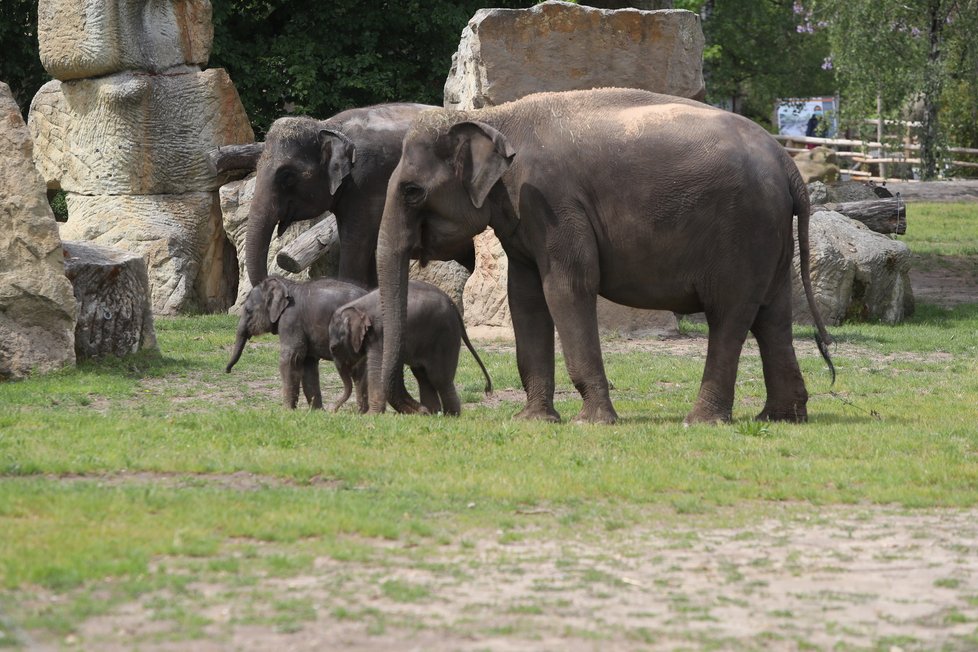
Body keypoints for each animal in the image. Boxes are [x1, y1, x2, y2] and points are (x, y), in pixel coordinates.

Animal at [225, 276, 366, 410]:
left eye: (248, 310)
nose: (227, 371)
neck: (287, 285)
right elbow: (309, 365)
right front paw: (317, 412)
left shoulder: (290, 320)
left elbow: (290, 358)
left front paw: (287, 411)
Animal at [328, 282, 492, 416]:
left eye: (334, 348)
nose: (332, 410)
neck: (357, 305)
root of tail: (454, 306)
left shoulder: (379, 334)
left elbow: (377, 368)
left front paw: (371, 416)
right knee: (423, 376)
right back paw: (433, 413)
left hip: (445, 337)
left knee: (439, 378)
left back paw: (450, 416)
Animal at [372, 89, 832, 428]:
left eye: (412, 191)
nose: (417, 410)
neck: (494, 117)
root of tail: (790, 166)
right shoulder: (525, 217)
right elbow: (525, 297)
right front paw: (533, 421)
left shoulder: (552, 203)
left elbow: (567, 288)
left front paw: (590, 423)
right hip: (769, 236)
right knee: (772, 317)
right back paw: (781, 418)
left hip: (743, 230)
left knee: (730, 314)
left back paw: (701, 421)